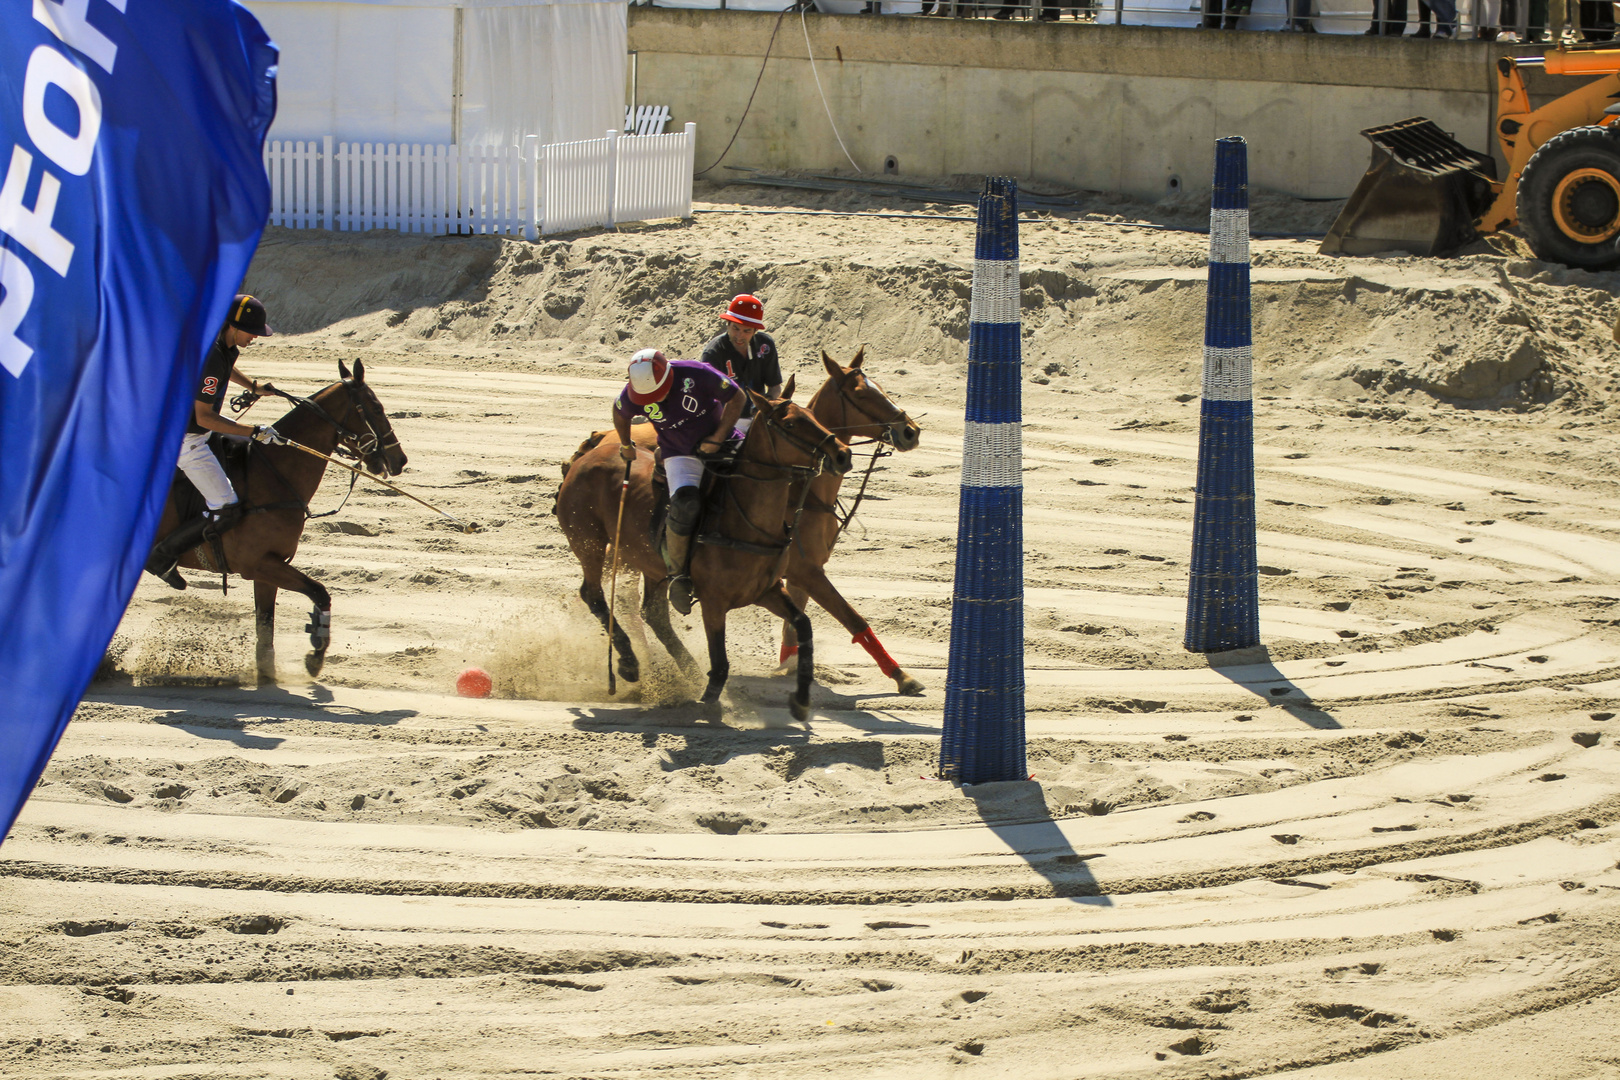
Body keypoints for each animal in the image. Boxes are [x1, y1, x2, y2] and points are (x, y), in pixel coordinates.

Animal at [153, 362, 405, 683]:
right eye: (375, 407)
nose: (400, 460)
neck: (273, 474)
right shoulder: (257, 563)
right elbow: (319, 591)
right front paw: (315, 656)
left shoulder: (268, 568)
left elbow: (266, 627)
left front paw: (269, 673)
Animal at [557, 380, 855, 718]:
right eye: (790, 423)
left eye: (812, 415)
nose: (842, 454)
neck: (745, 520)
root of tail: (582, 460)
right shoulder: (714, 601)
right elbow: (721, 663)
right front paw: (706, 701)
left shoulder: (767, 591)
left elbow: (803, 626)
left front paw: (802, 699)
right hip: (588, 539)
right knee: (593, 593)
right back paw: (631, 664)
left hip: (648, 561)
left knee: (654, 614)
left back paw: (687, 673)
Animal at [780, 351, 933, 696]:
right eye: (861, 393)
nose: (911, 431)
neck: (804, 491)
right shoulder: (804, 570)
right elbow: (853, 618)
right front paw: (902, 676)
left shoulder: (805, 572)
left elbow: (793, 626)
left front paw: (790, 669)